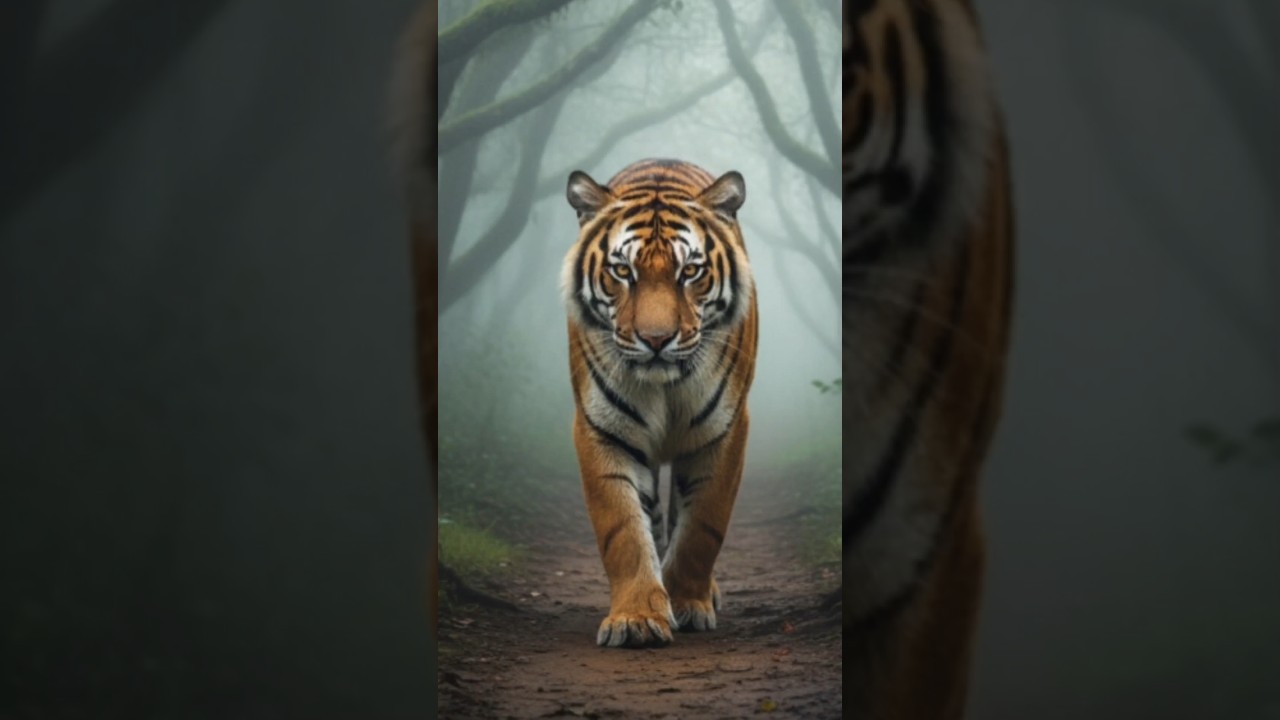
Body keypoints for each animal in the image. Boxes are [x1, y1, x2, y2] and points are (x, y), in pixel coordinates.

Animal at [561, 158, 758, 648]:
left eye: (690, 272)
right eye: (622, 272)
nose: (655, 340)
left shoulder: (724, 432)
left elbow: (702, 528)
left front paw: (688, 602)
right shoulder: (601, 429)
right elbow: (623, 530)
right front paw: (637, 619)